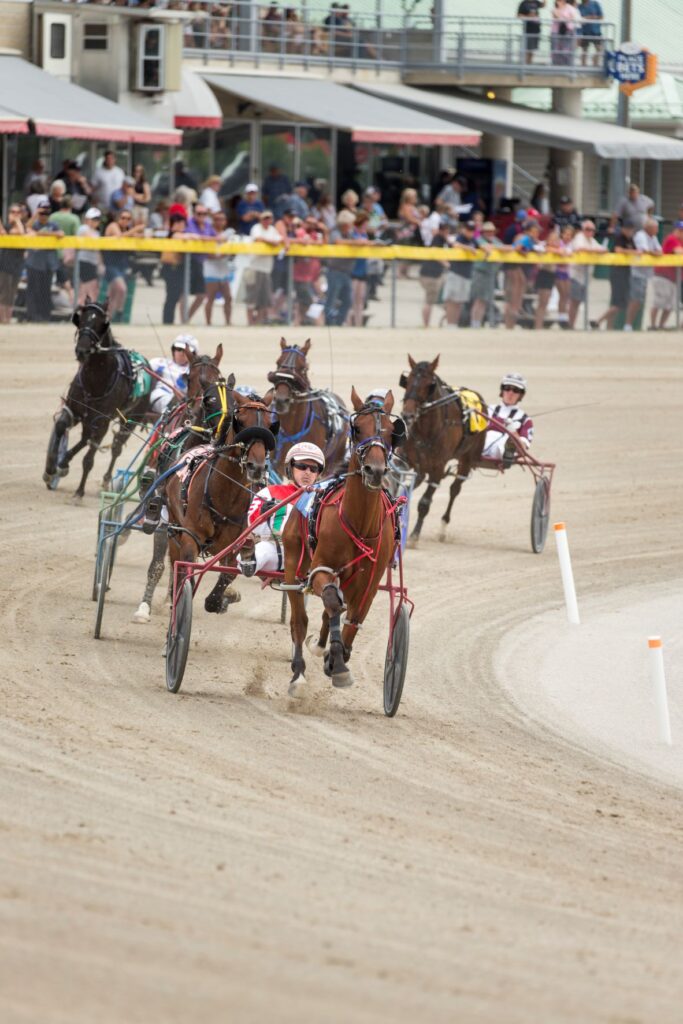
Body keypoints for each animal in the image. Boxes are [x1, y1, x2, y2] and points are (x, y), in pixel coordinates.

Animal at [44, 299, 153, 499]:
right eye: (81, 319)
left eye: (101, 322)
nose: (82, 350)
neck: (96, 379)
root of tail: (147, 364)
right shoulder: (74, 409)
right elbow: (61, 426)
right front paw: (51, 469)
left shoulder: (102, 420)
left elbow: (89, 458)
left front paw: (79, 492)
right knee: (85, 438)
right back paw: (64, 462)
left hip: (130, 419)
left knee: (115, 447)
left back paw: (106, 479)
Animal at [165, 391, 278, 614]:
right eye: (240, 422)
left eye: (270, 425)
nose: (256, 467)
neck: (225, 497)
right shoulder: (191, 536)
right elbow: (186, 570)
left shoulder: (238, 543)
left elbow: (230, 574)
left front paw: (223, 599)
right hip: (174, 525)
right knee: (174, 560)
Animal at [282, 385, 405, 696]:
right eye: (358, 428)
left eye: (391, 432)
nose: (375, 470)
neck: (359, 525)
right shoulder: (320, 569)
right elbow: (332, 604)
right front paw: (335, 661)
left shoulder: (369, 583)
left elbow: (353, 618)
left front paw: (337, 657)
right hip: (292, 562)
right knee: (300, 621)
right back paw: (299, 673)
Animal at [397, 352, 489, 544]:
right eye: (407, 381)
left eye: (428, 385)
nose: (407, 415)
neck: (426, 430)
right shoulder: (407, 460)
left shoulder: (438, 468)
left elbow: (424, 503)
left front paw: (414, 536)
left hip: (467, 459)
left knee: (455, 489)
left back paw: (443, 527)